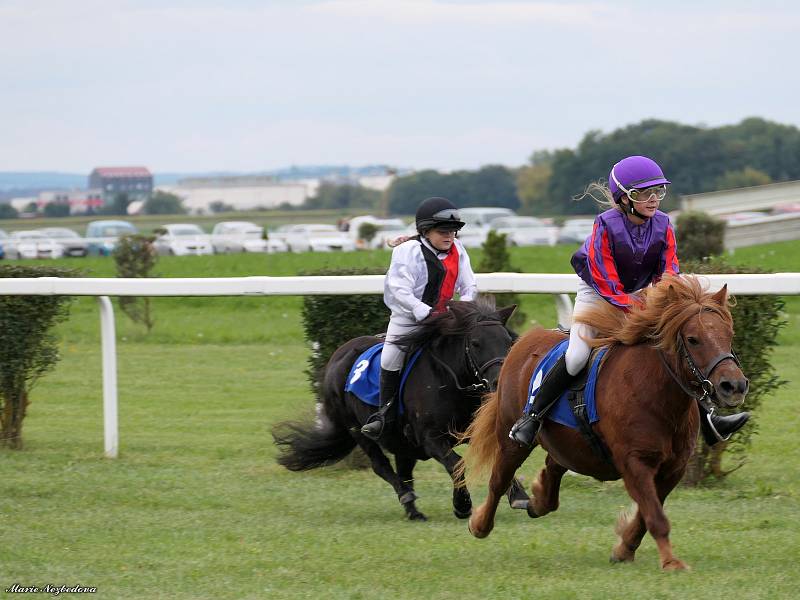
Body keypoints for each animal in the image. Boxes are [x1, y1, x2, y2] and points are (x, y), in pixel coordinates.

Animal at [276, 298, 524, 520]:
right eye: (475, 343)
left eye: (507, 341)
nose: (499, 382)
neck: (450, 380)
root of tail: (338, 355)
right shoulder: (431, 439)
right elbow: (456, 464)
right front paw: (462, 505)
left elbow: (499, 458)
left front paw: (519, 495)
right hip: (358, 430)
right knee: (381, 465)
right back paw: (407, 498)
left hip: (402, 441)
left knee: (404, 470)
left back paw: (413, 509)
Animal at [460, 274, 748, 568]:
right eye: (693, 339)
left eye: (729, 335)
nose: (733, 385)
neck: (655, 396)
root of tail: (524, 340)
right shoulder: (634, 462)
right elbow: (655, 515)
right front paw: (670, 562)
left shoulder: (673, 468)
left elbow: (647, 513)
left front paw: (625, 548)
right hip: (512, 439)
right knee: (499, 480)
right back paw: (480, 523)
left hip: (569, 445)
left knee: (553, 468)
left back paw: (538, 499)